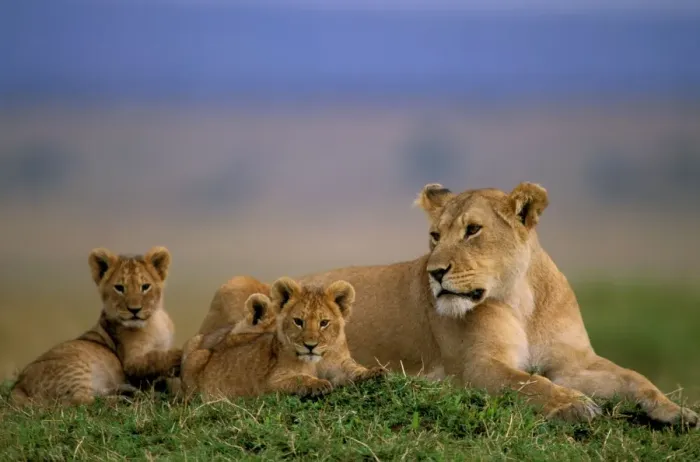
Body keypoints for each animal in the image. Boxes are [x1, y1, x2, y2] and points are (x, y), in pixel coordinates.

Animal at [10, 246, 182, 406]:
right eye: (119, 288)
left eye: (145, 286)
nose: (134, 310)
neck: (154, 321)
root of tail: (18, 388)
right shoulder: (130, 364)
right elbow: (154, 358)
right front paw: (179, 355)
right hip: (76, 367)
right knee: (79, 401)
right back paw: (125, 399)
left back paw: (127, 392)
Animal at [182, 277, 385, 400]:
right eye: (298, 321)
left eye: (324, 323)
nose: (310, 346)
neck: (317, 361)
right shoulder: (271, 381)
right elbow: (300, 378)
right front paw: (318, 384)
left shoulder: (339, 364)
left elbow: (354, 369)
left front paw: (373, 372)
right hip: (196, 360)